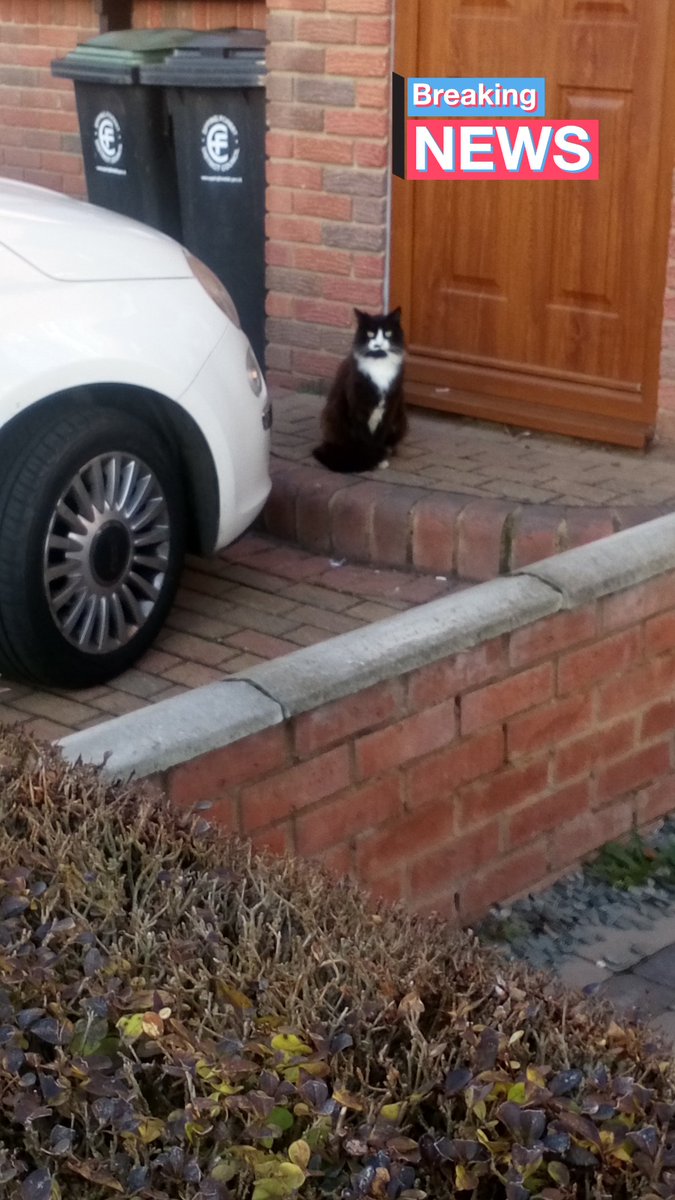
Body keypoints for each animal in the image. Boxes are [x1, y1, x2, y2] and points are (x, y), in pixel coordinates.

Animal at [312, 307, 407, 473]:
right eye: (370, 334)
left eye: (388, 333)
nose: (378, 344)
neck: (379, 365)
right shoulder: (358, 409)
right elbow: (365, 439)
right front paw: (370, 460)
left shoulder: (390, 408)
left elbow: (379, 437)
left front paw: (379, 459)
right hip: (334, 417)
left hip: (400, 419)